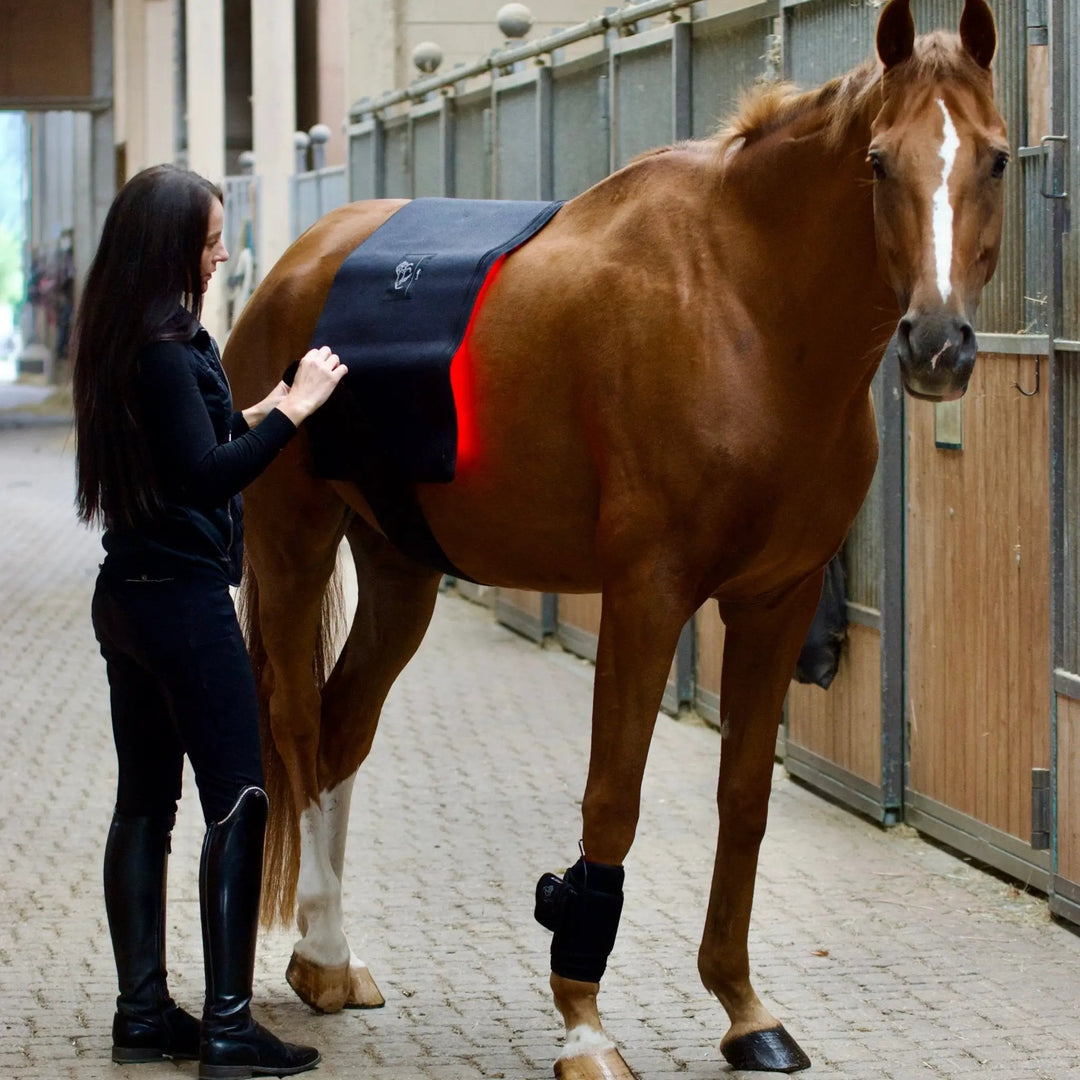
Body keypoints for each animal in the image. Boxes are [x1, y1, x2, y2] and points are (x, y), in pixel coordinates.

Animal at [224, 1, 1008, 1074]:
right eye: (880, 162)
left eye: (998, 159)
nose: (937, 345)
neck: (746, 309)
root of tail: (292, 271)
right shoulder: (648, 596)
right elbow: (613, 798)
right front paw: (584, 1021)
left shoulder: (777, 600)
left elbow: (744, 800)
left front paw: (745, 1009)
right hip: (294, 544)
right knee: (301, 732)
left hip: (400, 571)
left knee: (343, 732)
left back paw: (328, 960)